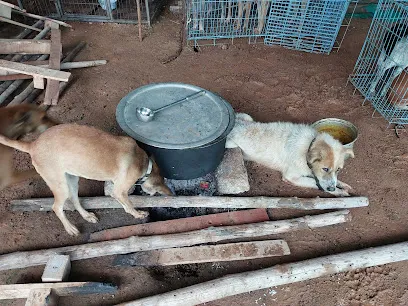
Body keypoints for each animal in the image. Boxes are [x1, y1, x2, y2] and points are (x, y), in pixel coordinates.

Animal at [0, 123, 172, 235]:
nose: (169, 195)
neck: (145, 165)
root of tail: (33, 144)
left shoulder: (116, 187)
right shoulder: (120, 190)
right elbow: (128, 205)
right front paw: (138, 214)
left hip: (72, 179)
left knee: (74, 200)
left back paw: (87, 216)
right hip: (60, 185)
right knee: (56, 207)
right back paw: (70, 228)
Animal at [226, 113, 354, 196]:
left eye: (338, 169)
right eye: (325, 169)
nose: (332, 189)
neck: (308, 146)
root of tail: (236, 124)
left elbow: (331, 179)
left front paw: (342, 185)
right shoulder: (291, 176)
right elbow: (315, 183)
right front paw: (339, 192)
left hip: (247, 117)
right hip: (231, 145)